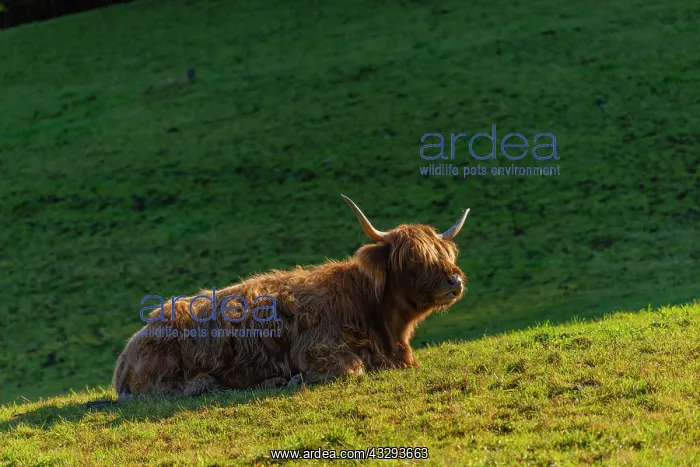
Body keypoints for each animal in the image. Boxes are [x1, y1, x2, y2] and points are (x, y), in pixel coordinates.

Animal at [112, 195, 470, 402]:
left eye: (443, 252)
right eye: (412, 257)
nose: (454, 280)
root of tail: (129, 348)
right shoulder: (319, 351)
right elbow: (353, 370)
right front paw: (294, 379)